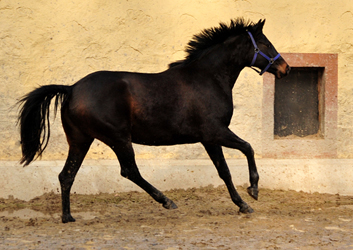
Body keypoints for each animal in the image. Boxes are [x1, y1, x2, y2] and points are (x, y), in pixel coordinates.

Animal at [17, 18, 288, 224]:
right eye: (265, 43)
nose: (285, 68)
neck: (208, 78)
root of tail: (71, 88)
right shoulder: (214, 133)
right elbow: (246, 150)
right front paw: (252, 193)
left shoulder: (208, 139)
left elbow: (224, 170)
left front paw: (243, 203)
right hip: (118, 138)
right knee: (129, 170)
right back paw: (167, 201)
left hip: (81, 140)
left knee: (67, 175)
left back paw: (68, 217)